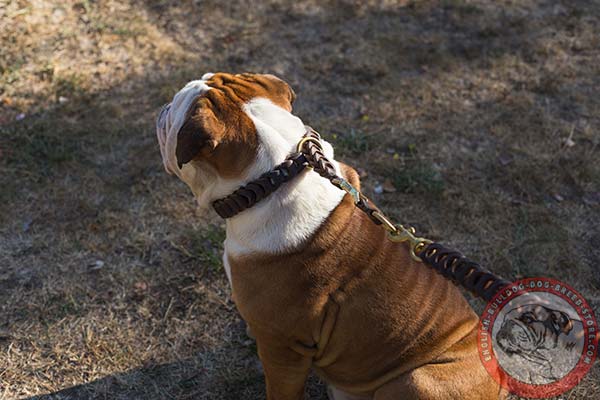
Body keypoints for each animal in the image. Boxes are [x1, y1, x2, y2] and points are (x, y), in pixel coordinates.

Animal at [156, 73, 506, 398]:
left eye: (175, 112)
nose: (162, 108)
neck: (275, 176)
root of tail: (499, 380)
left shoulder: (282, 348)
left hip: (416, 379)